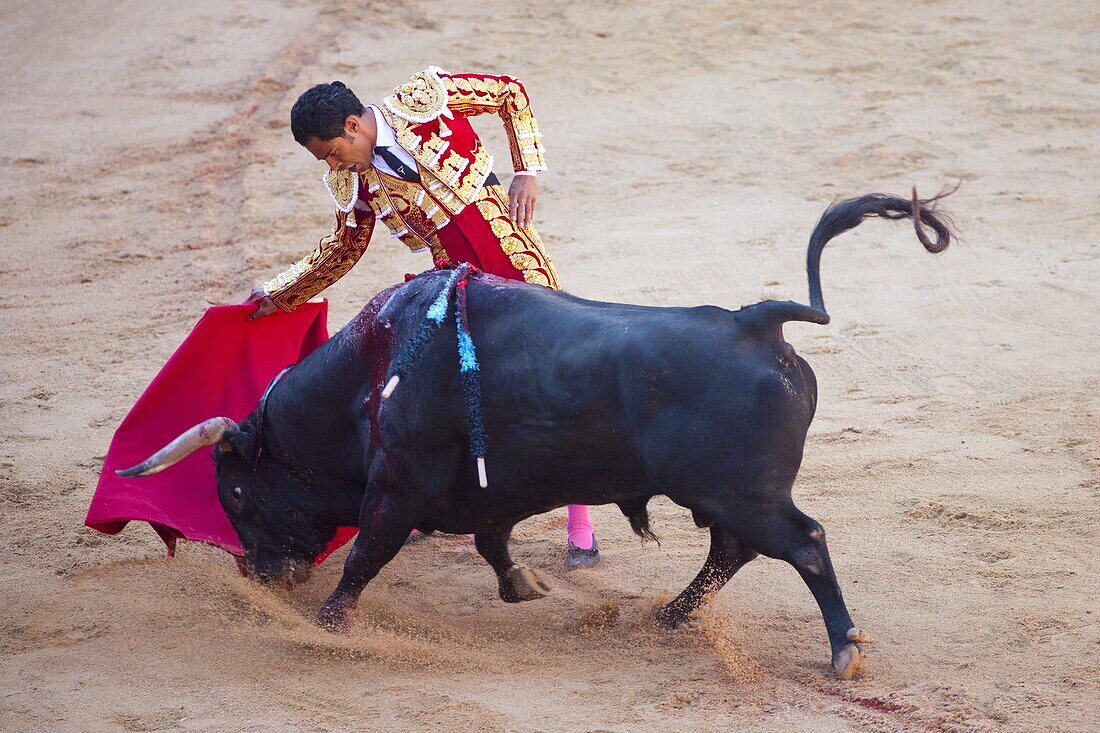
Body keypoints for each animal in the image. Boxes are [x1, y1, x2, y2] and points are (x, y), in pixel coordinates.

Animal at [120, 188, 954, 673]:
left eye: (235, 490)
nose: (262, 575)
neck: (373, 372)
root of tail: (756, 321)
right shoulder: (487, 492)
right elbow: (493, 540)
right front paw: (524, 582)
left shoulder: (397, 483)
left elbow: (366, 552)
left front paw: (329, 623)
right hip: (720, 494)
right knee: (734, 549)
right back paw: (671, 614)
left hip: (744, 491)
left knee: (802, 542)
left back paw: (843, 650)